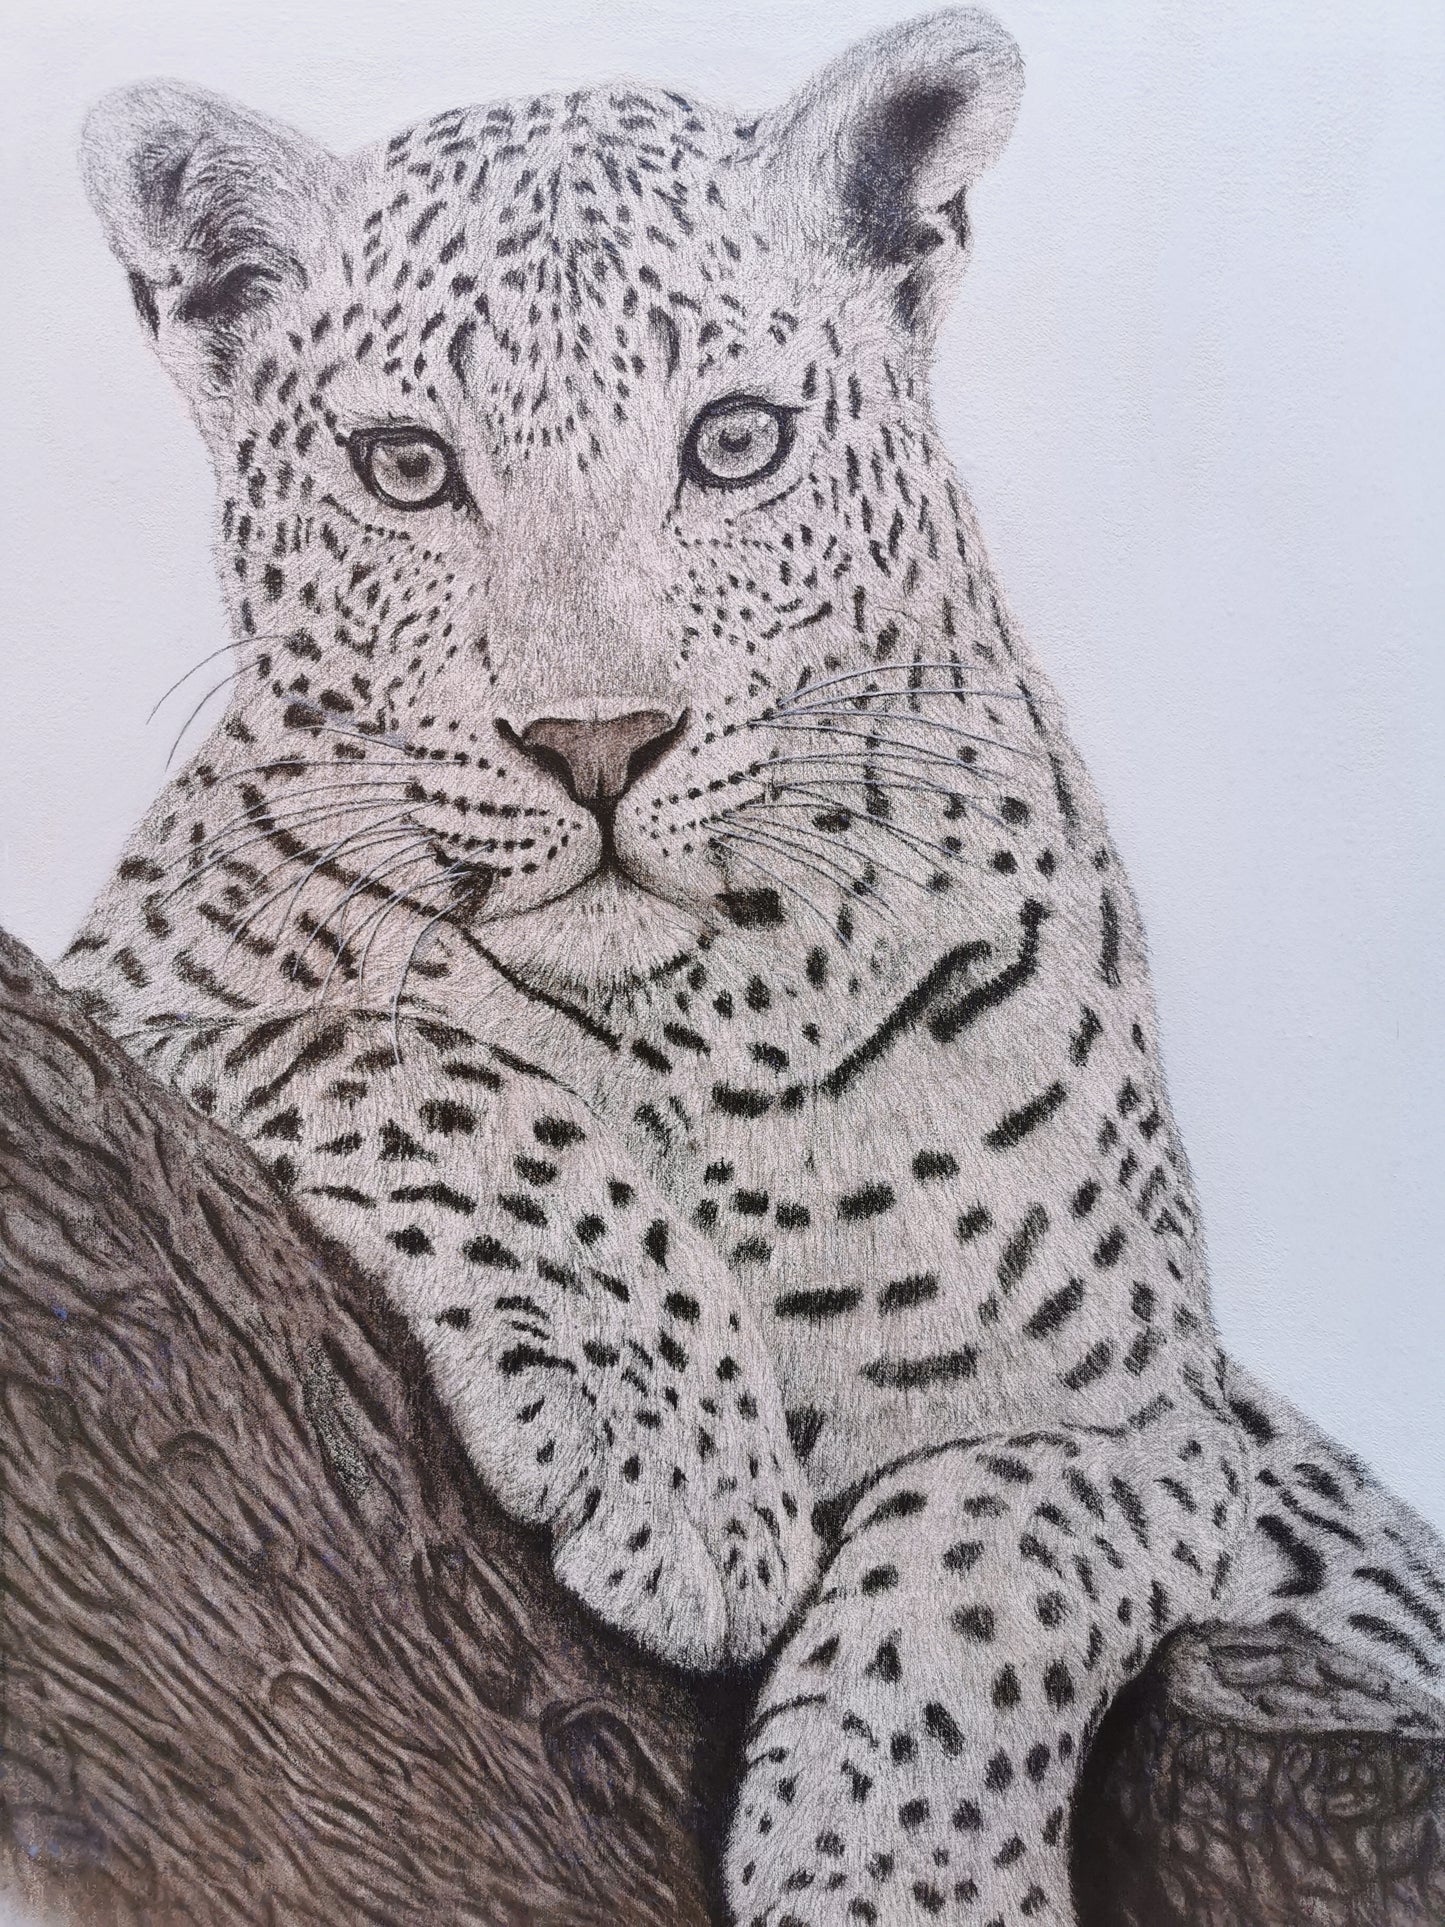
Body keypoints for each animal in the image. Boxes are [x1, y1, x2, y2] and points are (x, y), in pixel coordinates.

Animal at [57, 11, 1445, 1923]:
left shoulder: (1150, 1430)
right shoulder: (120, 994)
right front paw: (685, 1463)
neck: (694, 1027)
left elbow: (985, 1563)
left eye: (731, 442)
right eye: (408, 468)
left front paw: (904, 1877)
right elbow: (415, 1061)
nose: (594, 742)